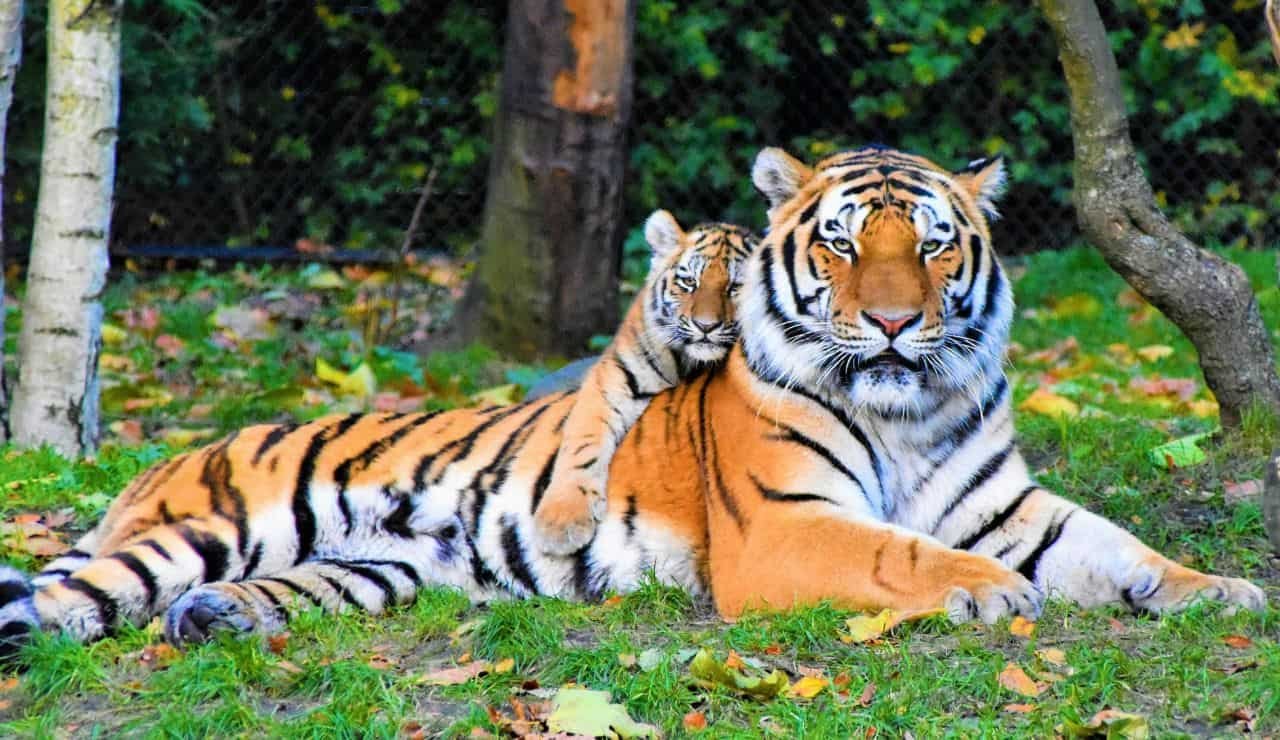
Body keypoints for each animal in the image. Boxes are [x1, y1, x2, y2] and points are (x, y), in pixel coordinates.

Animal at [532, 210, 756, 555]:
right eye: (689, 282)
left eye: (735, 287)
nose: (706, 326)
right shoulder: (613, 378)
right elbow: (583, 440)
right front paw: (561, 523)